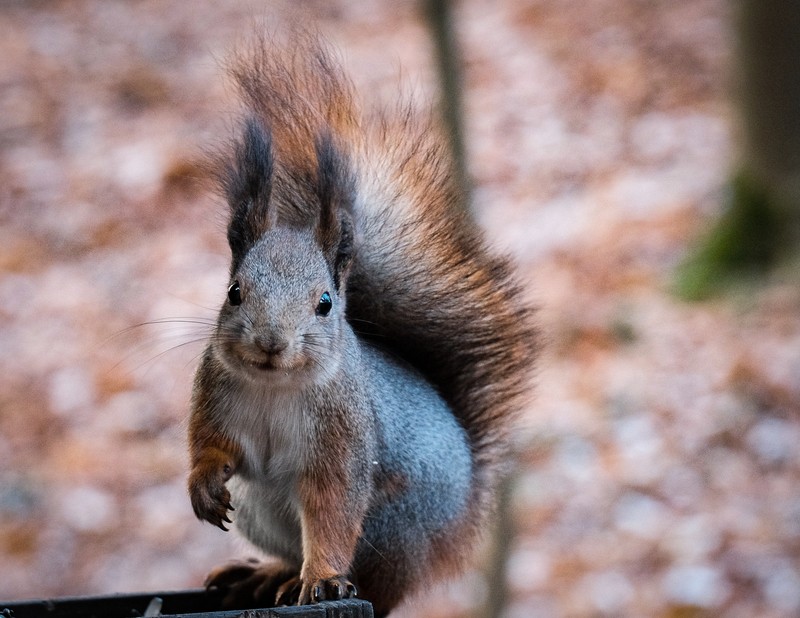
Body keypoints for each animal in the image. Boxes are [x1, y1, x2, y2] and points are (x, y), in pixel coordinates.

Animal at [188, 33, 536, 616]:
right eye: (234, 292)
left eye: (325, 303)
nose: (270, 343)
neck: (274, 386)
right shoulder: (213, 393)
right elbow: (207, 444)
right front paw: (203, 485)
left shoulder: (343, 442)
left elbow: (331, 509)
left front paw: (323, 578)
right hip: (261, 512)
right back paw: (269, 574)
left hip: (391, 529)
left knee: (378, 586)